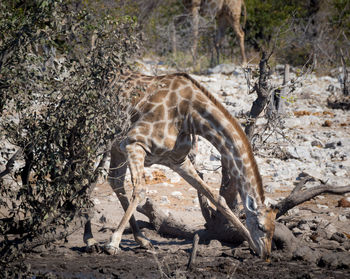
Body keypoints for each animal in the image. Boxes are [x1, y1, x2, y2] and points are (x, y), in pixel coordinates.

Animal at [84, 71, 276, 260]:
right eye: (261, 226)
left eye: (273, 228)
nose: (266, 253)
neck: (190, 115)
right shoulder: (134, 142)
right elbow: (139, 190)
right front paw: (113, 243)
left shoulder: (177, 161)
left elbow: (216, 197)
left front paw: (251, 244)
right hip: (94, 137)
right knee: (88, 180)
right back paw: (91, 240)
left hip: (114, 146)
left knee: (113, 180)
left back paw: (142, 240)